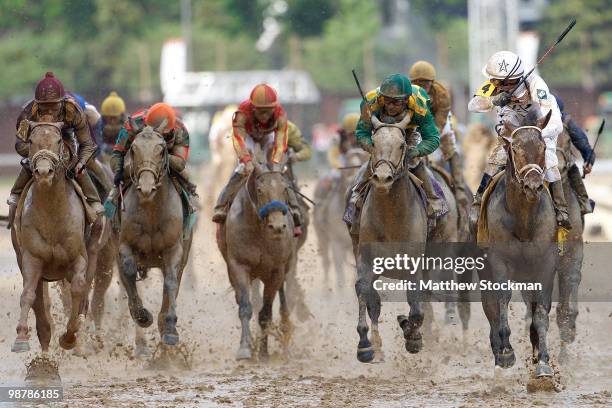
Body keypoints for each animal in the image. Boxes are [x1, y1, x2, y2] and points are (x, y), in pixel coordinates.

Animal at [10, 121, 106, 354]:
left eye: (58, 140)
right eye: (32, 141)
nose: (44, 172)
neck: (52, 213)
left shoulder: (78, 258)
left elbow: (78, 287)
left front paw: (69, 337)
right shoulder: (31, 259)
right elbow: (28, 294)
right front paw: (21, 338)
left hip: (94, 252)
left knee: (84, 293)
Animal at [115, 126, 191, 346]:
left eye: (161, 150)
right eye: (133, 149)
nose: (146, 188)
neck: (151, 212)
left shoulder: (174, 249)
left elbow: (171, 280)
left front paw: (170, 328)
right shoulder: (124, 244)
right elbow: (128, 270)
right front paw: (142, 315)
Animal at [216, 161, 298, 358]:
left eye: (285, 188)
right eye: (260, 190)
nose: (278, 226)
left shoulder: (276, 270)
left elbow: (265, 314)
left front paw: (263, 352)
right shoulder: (238, 266)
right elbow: (245, 307)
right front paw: (246, 348)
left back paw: (285, 327)